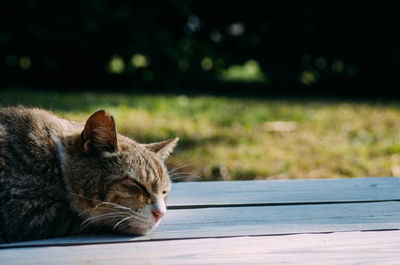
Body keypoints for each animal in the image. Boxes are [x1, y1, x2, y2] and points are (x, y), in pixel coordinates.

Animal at [0, 105, 178, 241]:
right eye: (137, 185)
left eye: (164, 192)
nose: (161, 214)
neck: (56, 162)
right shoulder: (23, 210)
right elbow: (84, 217)